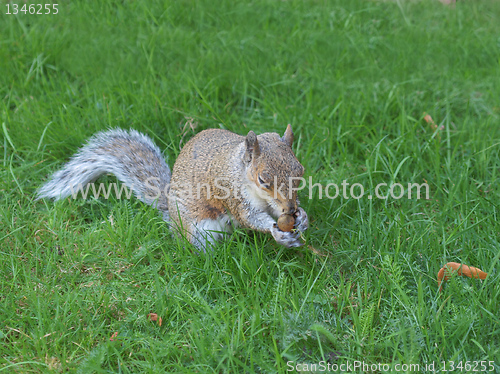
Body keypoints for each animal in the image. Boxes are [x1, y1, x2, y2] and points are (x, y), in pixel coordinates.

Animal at [37, 125, 306, 251]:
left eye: (300, 171)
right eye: (263, 180)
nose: (290, 208)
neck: (239, 169)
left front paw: (302, 218)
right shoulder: (232, 193)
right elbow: (251, 218)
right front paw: (276, 231)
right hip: (198, 231)